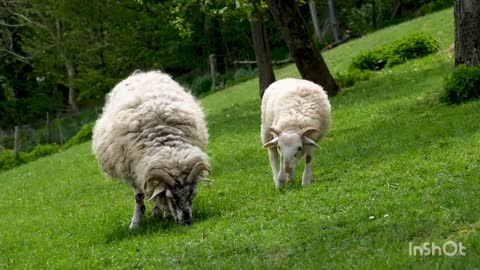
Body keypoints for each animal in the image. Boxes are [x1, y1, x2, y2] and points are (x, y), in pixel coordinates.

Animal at [92, 70, 210, 229]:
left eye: (192, 194)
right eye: (171, 197)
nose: (186, 221)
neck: (162, 137)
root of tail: (140, 73)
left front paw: (164, 212)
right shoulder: (135, 171)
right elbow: (139, 197)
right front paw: (135, 224)